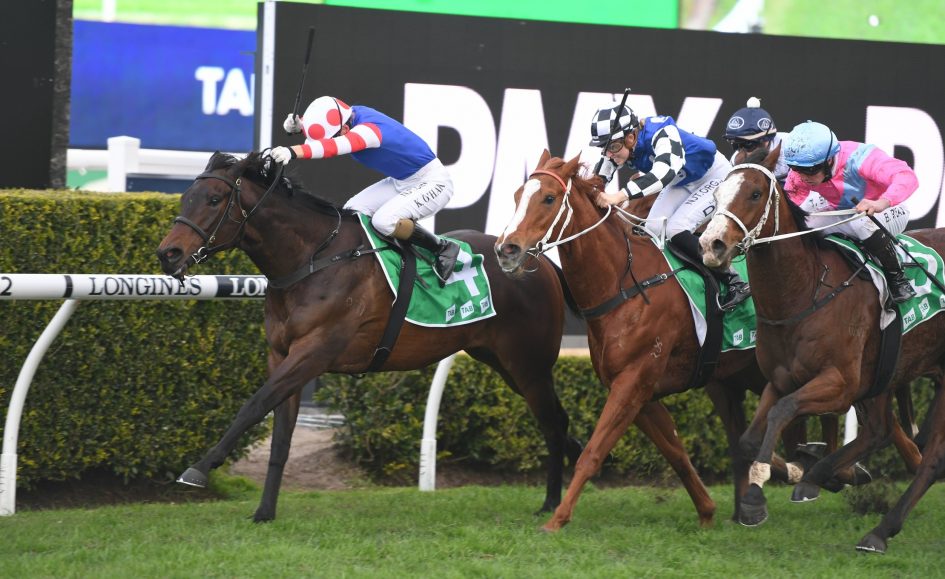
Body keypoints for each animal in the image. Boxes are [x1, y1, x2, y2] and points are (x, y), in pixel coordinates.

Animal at [155, 151, 583, 521]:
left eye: (214, 199)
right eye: (186, 196)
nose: (168, 254)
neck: (313, 259)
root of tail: (539, 260)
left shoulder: (313, 353)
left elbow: (253, 405)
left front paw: (198, 468)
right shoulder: (282, 356)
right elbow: (279, 436)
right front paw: (264, 512)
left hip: (528, 364)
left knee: (552, 423)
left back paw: (552, 501)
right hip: (501, 362)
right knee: (558, 422)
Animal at [494, 150, 834, 531]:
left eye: (549, 198)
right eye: (517, 196)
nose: (507, 249)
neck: (624, 284)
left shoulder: (633, 381)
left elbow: (593, 452)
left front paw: (557, 519)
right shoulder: (640, 391)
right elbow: (676, 451)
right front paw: (707, 512)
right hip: (732, 379)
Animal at [699, 145, 942, 552]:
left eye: (754, 194)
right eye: (715, 195)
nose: (711, 245)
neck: (805, 292)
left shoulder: (840, 382)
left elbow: (783, 411)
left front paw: (759, 494)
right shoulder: (781, 378)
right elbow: (750, 437)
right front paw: (776, 485)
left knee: (929, 459)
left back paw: (876, 527)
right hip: (888, 373)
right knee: (879, 431)